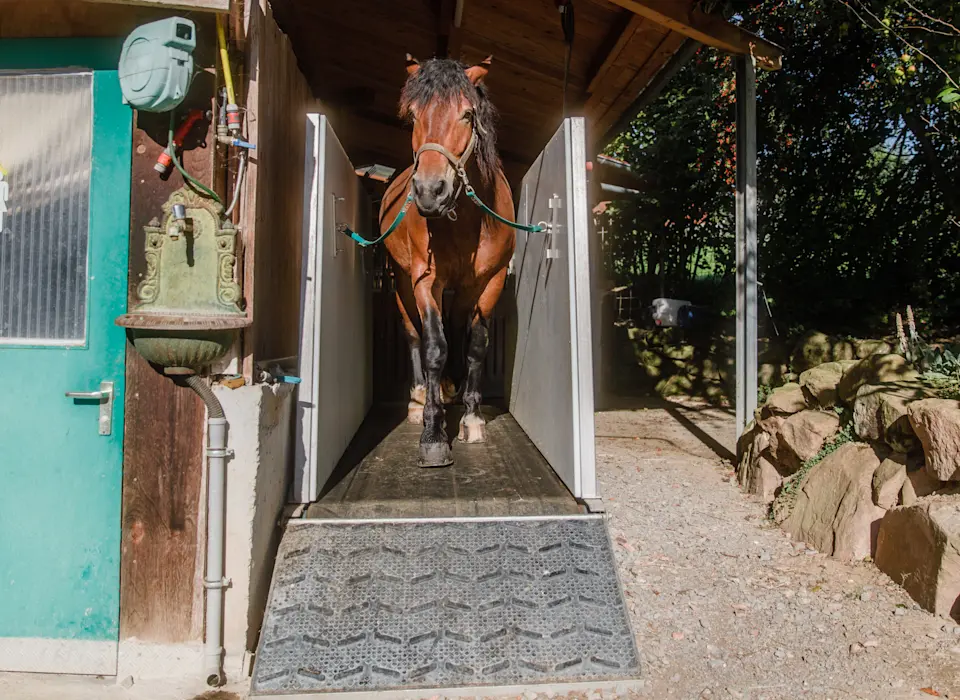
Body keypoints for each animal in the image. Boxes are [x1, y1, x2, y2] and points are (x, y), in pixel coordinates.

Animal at [379, 54, 515, 468]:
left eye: (467, 114)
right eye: (413, 115)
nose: (429, 192)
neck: (465, 220)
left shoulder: (490, 281)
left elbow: (475, 343)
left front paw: (471, 416)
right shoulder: (426, 281)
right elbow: (434, 347)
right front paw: (434, 434)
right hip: (402, 282)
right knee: (413, 334)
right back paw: (419, 396)